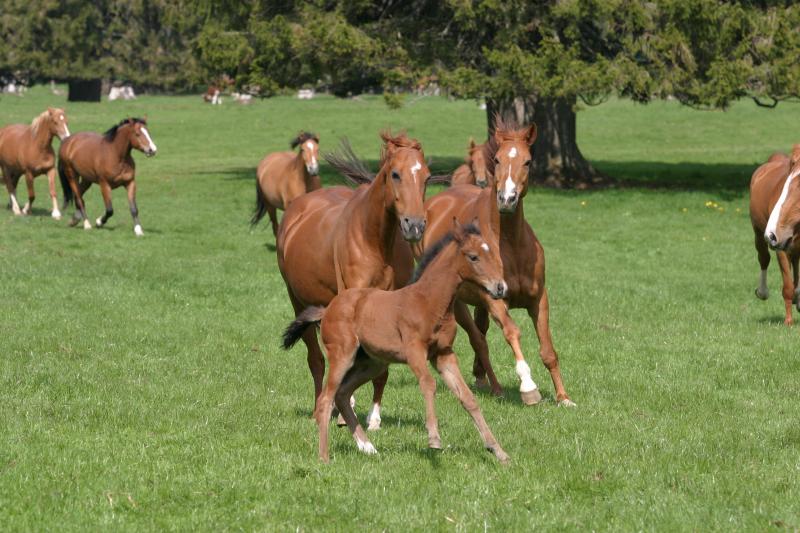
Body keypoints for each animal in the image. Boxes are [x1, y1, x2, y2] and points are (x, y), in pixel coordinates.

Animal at [278, 132, 434, 428]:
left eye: (427, 177)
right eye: (395, 174)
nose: (415, 225)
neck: (374, 239)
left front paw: (374, 417)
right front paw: (344, 411)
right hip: (297, 301)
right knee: (317, 359)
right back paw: (322, 409)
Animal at [284, 218, 510, 464]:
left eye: (491, 253)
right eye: (473, 257)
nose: (500, 287)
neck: (429, 301)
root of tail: (326, 311)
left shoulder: (444, 354)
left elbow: (468, 398)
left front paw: (497, 450)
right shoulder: (415, 351)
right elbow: (428, 384)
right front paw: (434, 438)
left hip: (372, 363)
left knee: (342, 394)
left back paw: (367, 447)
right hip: (342, 355)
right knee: (327, 398)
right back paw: (324, 457)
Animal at [412, 116, 576, 406]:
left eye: (528, 161)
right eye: (497, 160)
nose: (507, 199)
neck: (510, 243)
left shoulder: (539, 299)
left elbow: (548, 350)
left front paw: (563, 397)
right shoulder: (495, 299)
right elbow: (512, 332)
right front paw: (528, 387)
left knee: (481, 331)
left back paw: (482, 379)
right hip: (456, 301)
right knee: (478, 339)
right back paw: (495, 387)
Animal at [752, 142, 800, 324]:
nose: (772, 233)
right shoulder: (781, 249)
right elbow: (787, 286)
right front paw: (788, 322)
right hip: (758, 234)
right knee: (764, 258)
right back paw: (763, 291)